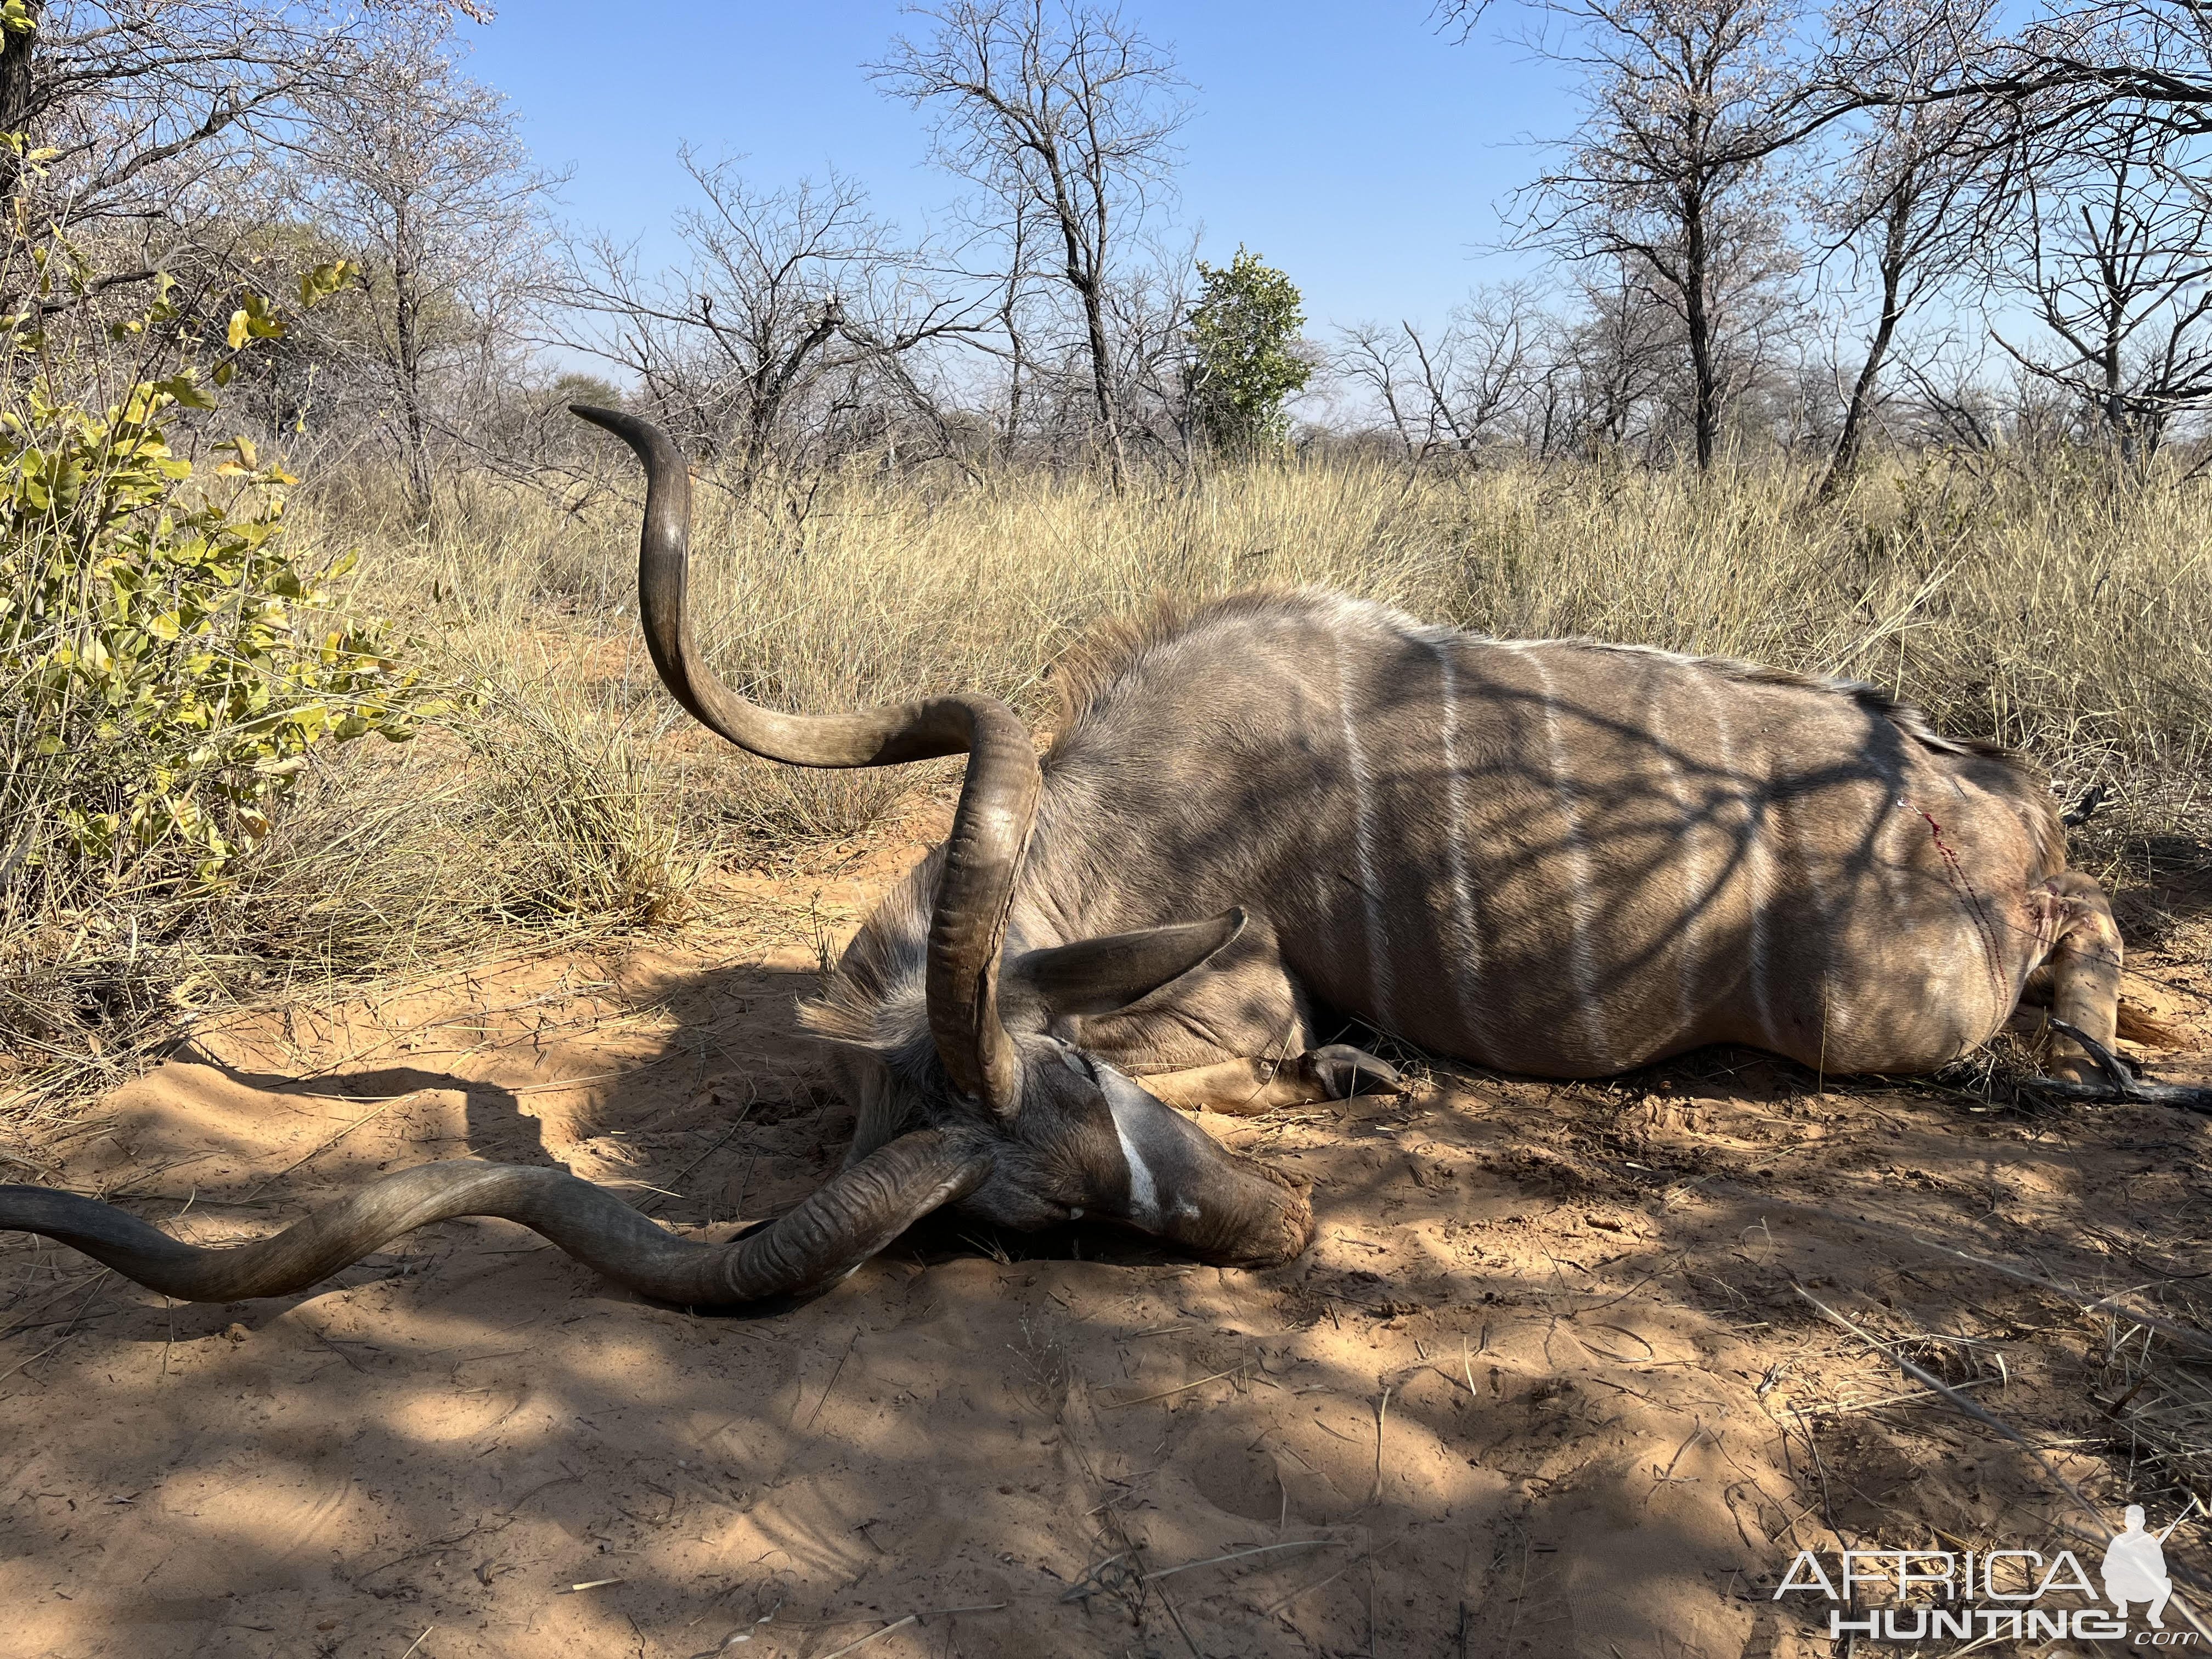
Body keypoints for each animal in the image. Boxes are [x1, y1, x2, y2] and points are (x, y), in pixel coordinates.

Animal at [0, 409, 2194, 1318]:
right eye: (1039, 1227)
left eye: (1079, 1088)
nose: (1277, 1232)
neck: (1157, 788)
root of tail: (1982, 799)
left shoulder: (1237, 995)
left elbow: (1294, 1034)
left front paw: (1365, 1070)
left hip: (1873, 1008)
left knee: (2059, 959)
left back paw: (2088, 1057)